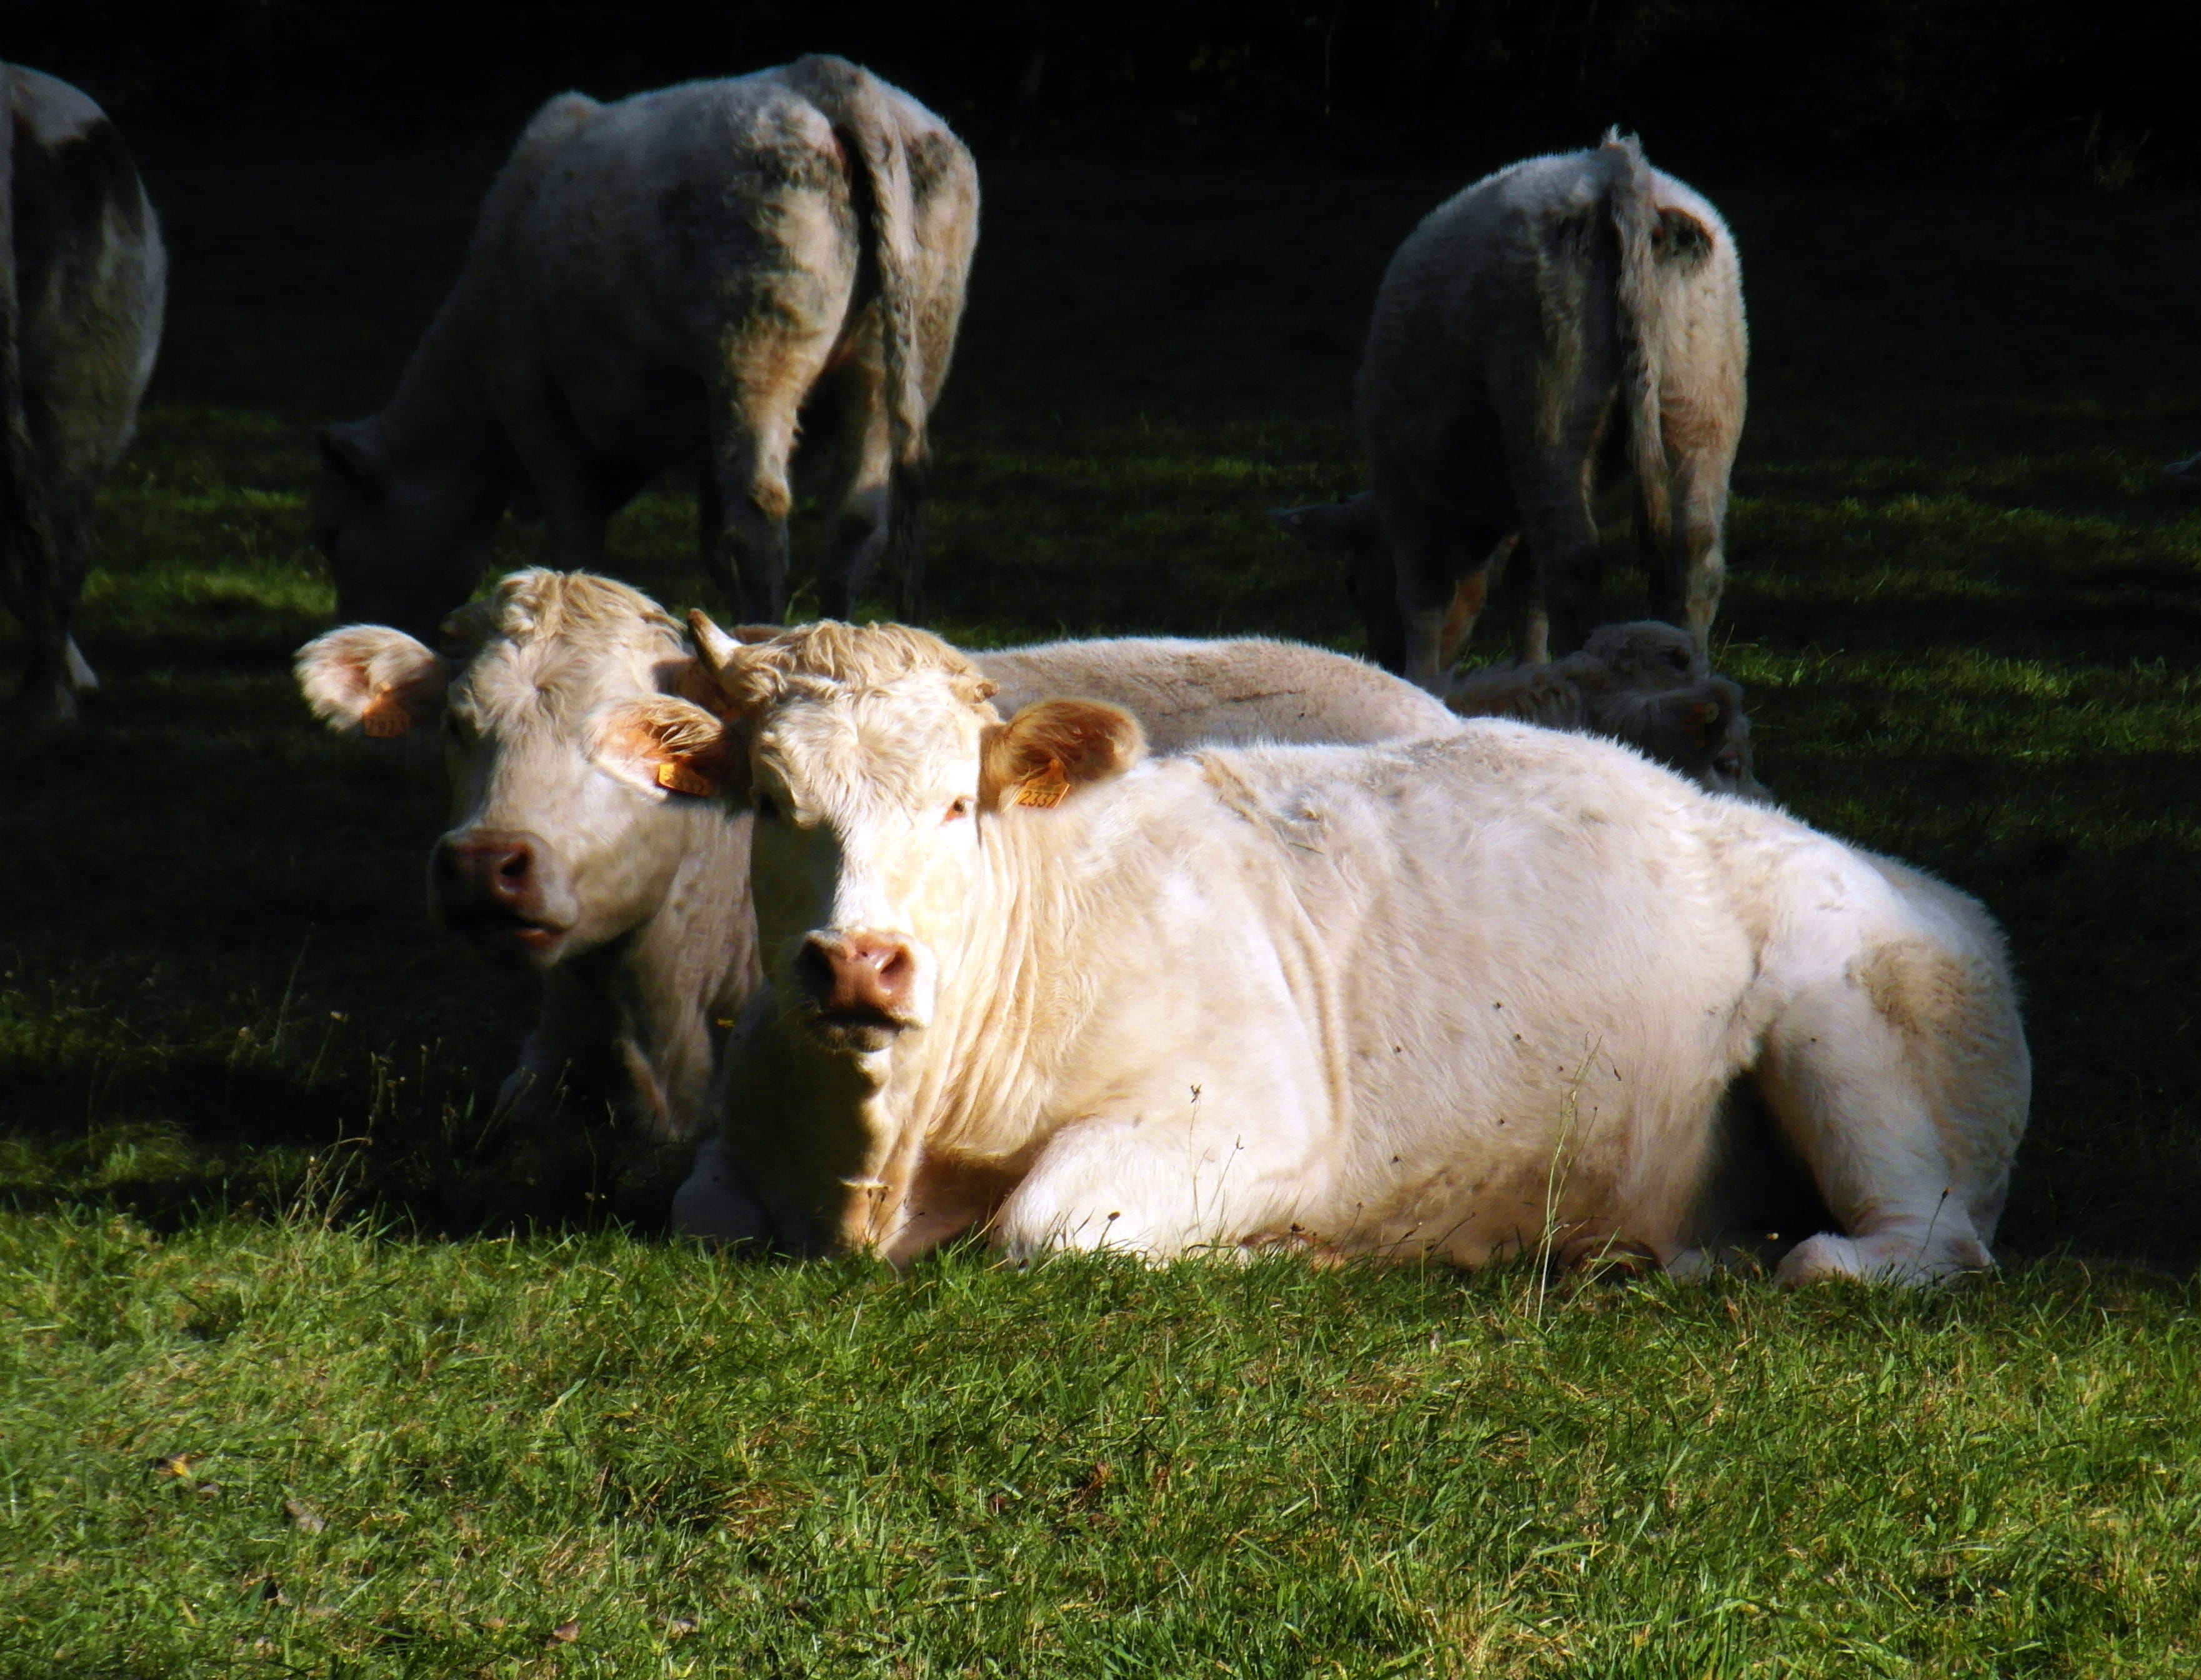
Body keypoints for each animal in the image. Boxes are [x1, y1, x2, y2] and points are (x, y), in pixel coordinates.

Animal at [310, 56, 978, 640]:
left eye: (333, 534)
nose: (348, 631)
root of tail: (831, 77)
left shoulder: (531, 397)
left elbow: (577, 535)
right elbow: (711, 536)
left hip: (756, 356)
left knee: (761, 513)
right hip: (902, 354)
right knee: (856, 519)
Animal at [642, 617, 2026, 1286]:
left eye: (953, 803)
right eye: (772, 797)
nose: (858, 963)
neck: (888, 1161)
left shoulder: (1250, 1113)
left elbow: (1050, 1222)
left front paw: (1271, 1251)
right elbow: (702, 1211)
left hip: (1847, 1027)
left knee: (1902, 1249)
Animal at [1354, 132, 1746, 690]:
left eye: (1356, 584)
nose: (1382, 659)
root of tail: (1617, 169)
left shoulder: (1400, 481)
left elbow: (1423, 595)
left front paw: (1421, 681)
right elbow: (1526, 589)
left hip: (1550, 404)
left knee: (1572, 561)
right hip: (1703, 401)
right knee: (1696, 556)